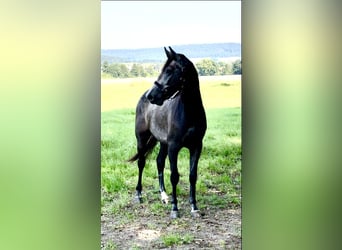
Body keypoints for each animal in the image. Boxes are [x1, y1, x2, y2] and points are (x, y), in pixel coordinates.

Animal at [127, 47, 206, 219]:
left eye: (169, 70)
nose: (151, 95)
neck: (190, 112)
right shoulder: (174, 147)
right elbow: (174, 176)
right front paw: (175, 209)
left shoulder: (196, 146)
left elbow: (192, 176)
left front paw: (194, 207)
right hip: (141, 139)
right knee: (141, 163)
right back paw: (139, 195)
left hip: (162, 142)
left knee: (159, 162)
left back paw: (163, 196)